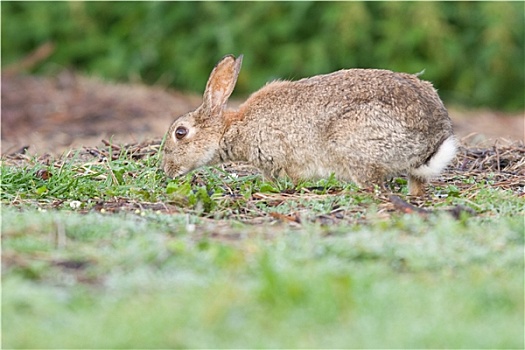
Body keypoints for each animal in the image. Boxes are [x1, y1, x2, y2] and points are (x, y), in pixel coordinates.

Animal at [161, 54, 454, 197]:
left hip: (354, 146)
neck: (233, 128)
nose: (167, 170)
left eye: (180, 132)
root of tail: (432, 139)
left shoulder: (282, 158)